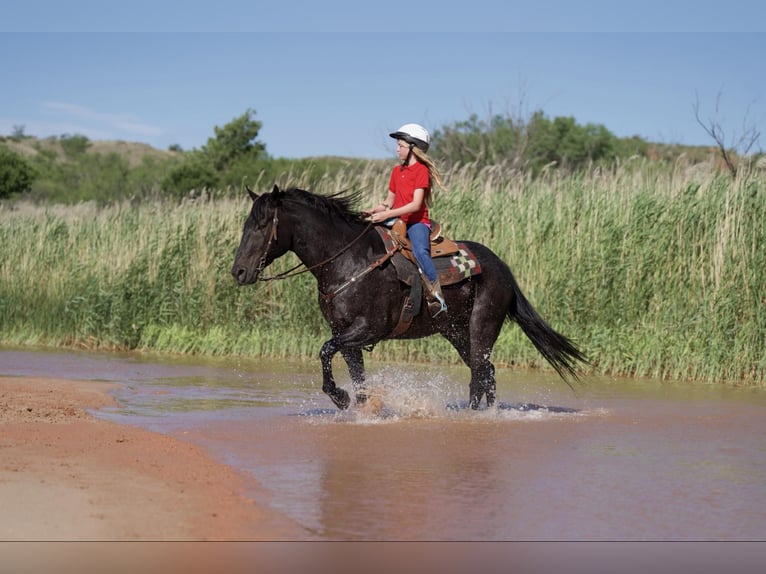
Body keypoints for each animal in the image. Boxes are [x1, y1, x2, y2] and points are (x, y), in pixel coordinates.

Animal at [231, 184, 588, 410]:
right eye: (246, 223)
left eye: (263, 224)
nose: (239, 272)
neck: (348, 261)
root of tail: (502, 267)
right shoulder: (346, 336)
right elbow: (356, 378)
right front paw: (361, 410)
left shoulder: (367, 330)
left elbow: (323, 352)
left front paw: (339, 398)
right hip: (456, 332)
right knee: (486, 373)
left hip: (481, 328)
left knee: (479, 373)